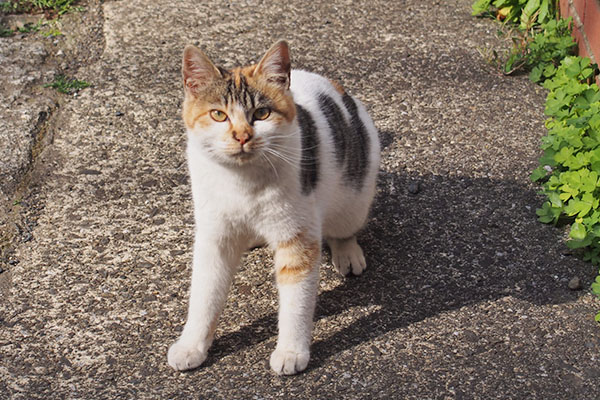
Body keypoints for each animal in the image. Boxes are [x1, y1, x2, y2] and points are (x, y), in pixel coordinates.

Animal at [166, 39, 380, 376]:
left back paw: (347, 252)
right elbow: (204, 293)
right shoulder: (214, 236)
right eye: (218, 115)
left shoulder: (298, 238)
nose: (242, 135)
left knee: (343, 228)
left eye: (262, 113)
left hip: (354, 196)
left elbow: (296, 302)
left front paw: (291, 351)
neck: (242, 182)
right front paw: (192, 345)